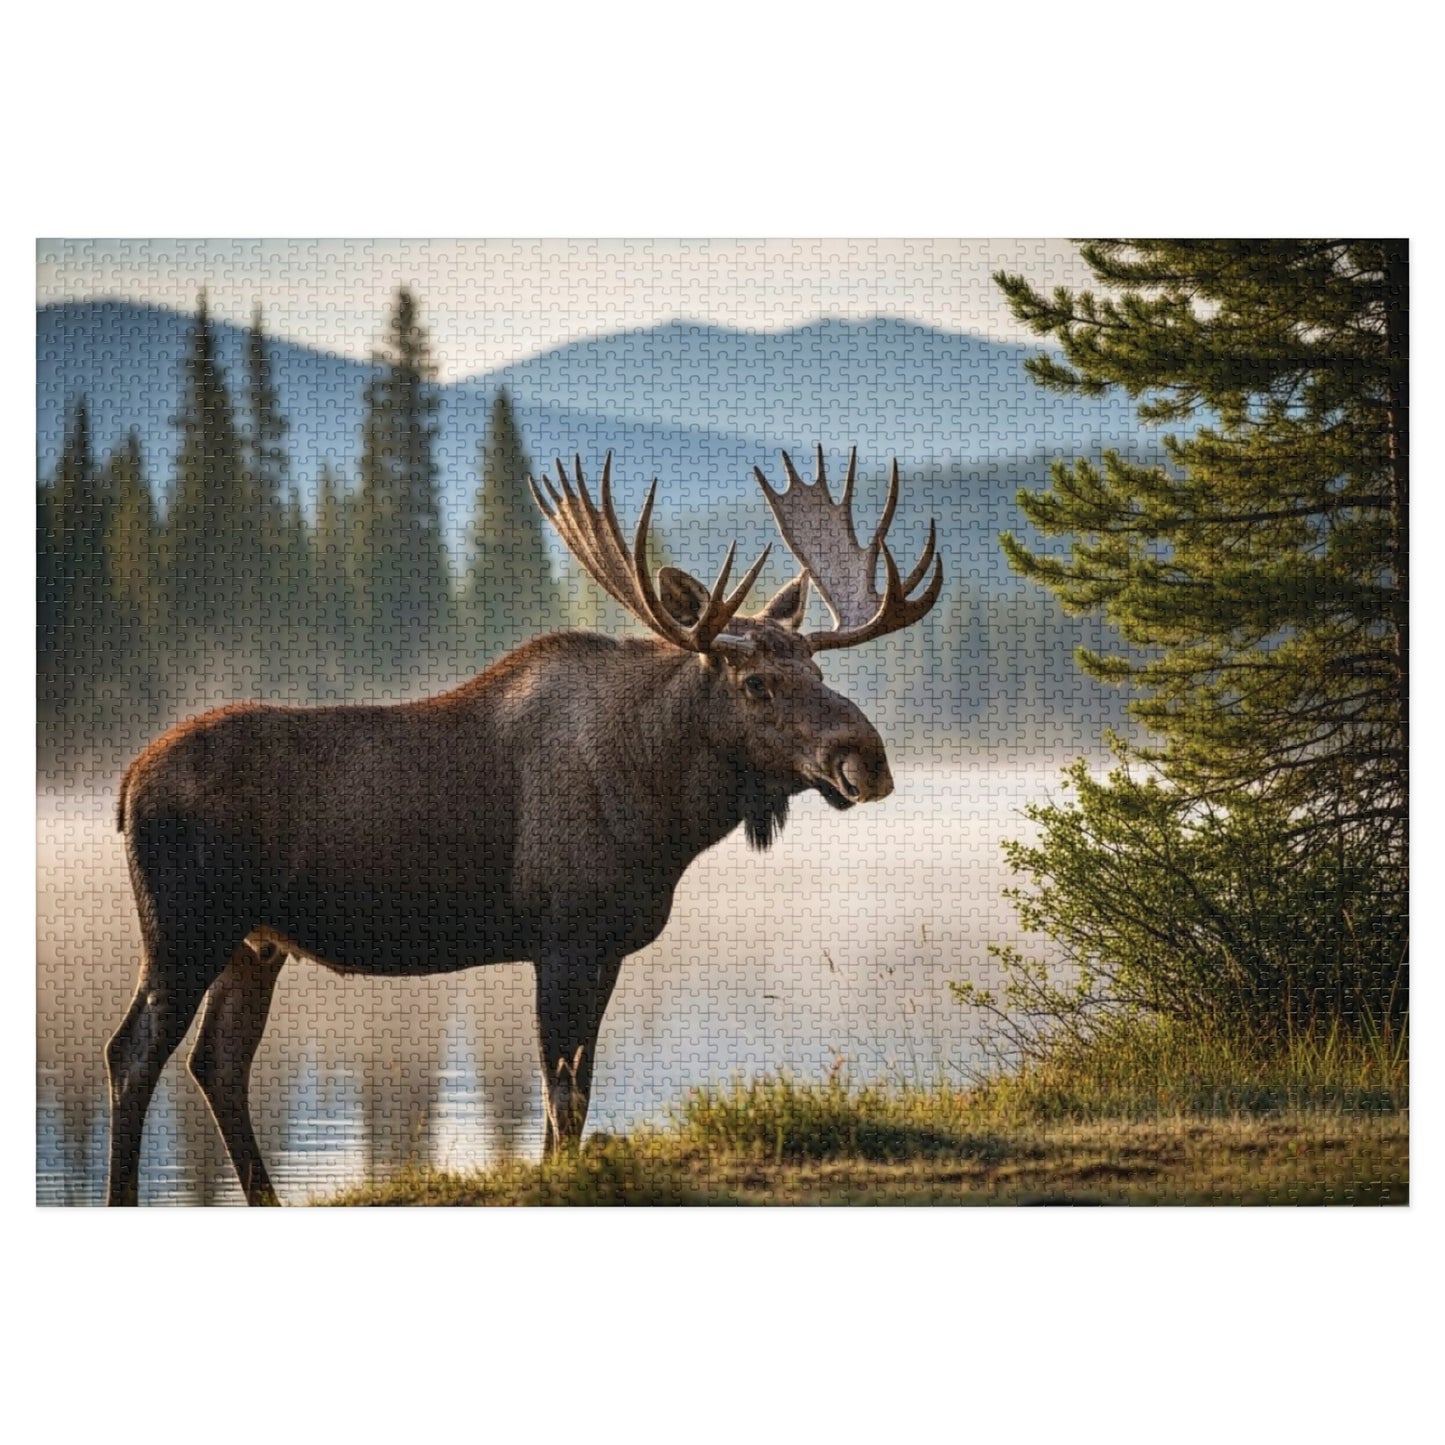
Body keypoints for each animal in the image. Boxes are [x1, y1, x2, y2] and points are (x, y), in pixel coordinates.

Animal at [105, 447, 942, 1204]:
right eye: (757, 682)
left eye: (819, 671)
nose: (866, 758)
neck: (664, 809)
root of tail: (125, 782)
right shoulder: (563, 937)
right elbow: (561, 1095)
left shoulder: (605, 946)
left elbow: (575, 1091)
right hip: (184, 928)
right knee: (132, 1054)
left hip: (254, 942)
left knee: (218, 1062)